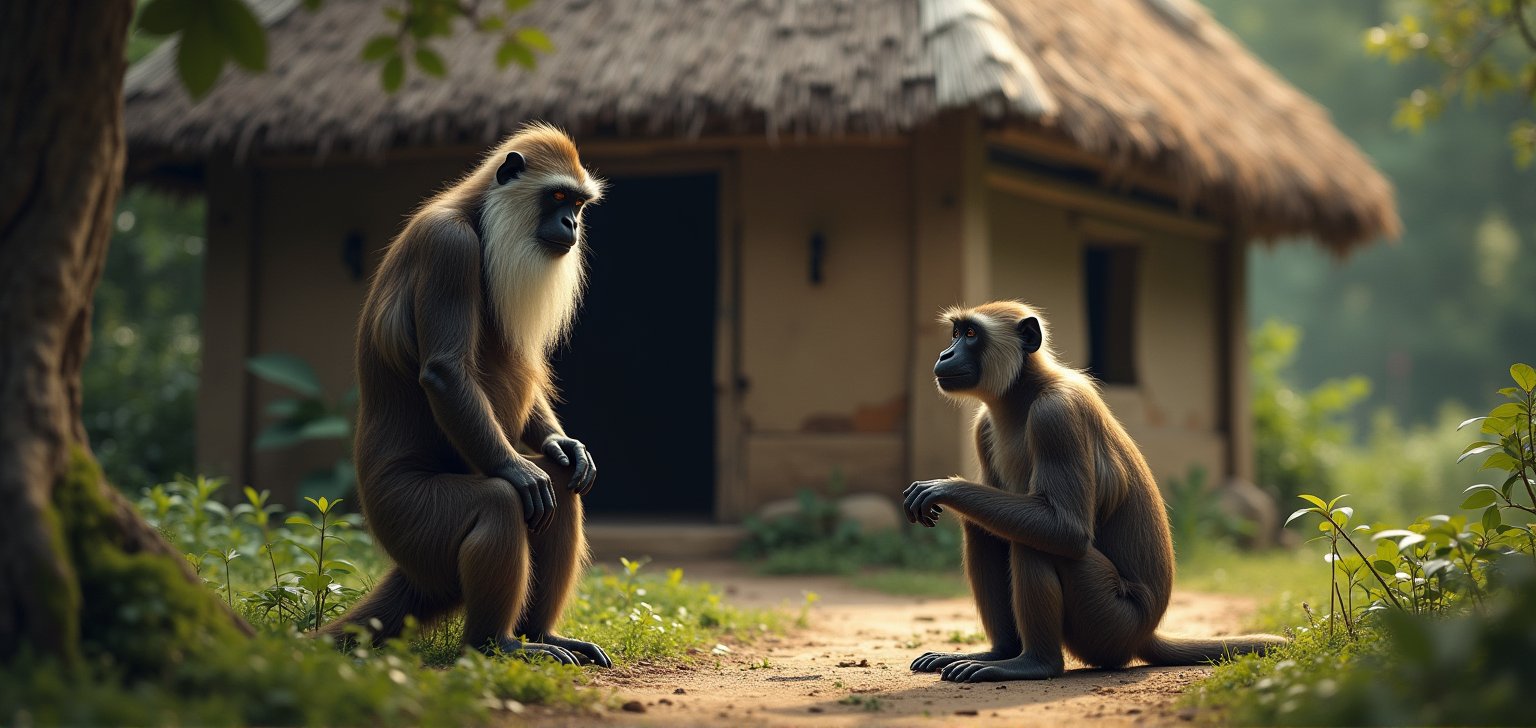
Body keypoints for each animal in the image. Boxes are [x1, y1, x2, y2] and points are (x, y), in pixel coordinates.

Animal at [325, 123, 611, 666]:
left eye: (578, 205)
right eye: (557, 198)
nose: (571, 224)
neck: (478, 220)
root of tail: (417, 574)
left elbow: (558, 461)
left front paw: (563, 445)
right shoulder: (450, 246)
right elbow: (445, 372)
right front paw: (517, 469)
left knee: (561, 488)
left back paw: (543, 634)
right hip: (410, 520)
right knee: (503, 502)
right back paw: (496, 642)